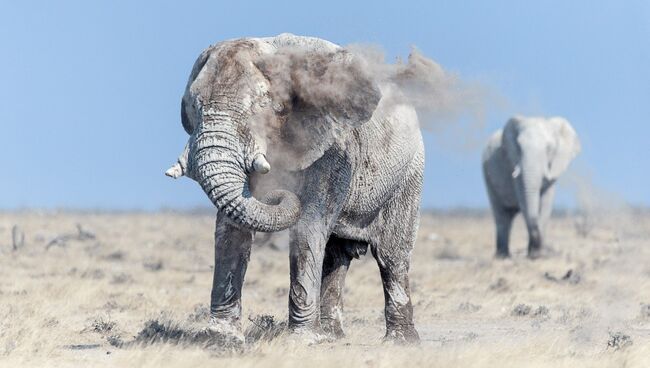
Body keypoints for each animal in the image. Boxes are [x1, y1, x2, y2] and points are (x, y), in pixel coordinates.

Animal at [165, 33, 422, 344]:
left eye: (262, 106)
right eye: (192, 106)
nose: (276, 192)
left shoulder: (333, 149)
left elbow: (308, 226)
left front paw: (303, 341)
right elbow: (230, 230)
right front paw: (220, 339)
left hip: (410, 170)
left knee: (391, 256)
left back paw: (400, 341)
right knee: (336, 256)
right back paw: (333, 336)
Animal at [478, 115, 580, 258]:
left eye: (549, 148)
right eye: (519, 148)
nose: (539, 249)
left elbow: (546, 202)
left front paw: (538, 255)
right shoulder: (514, 165)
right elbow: (524, 201)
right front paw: (535, 254)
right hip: (487, 176)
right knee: (501, 216)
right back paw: (502, 256)